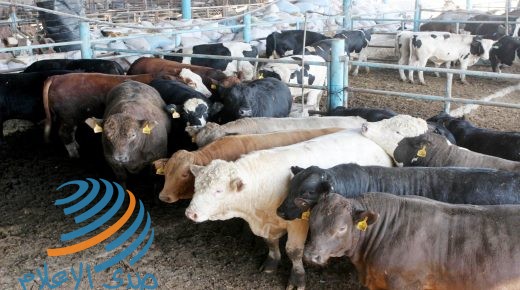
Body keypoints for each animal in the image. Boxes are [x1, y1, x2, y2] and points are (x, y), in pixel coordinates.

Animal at [185, 130, 392, 290]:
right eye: (196, 185)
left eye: (218, 190)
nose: (190, 213)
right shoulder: (269, 224)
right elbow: (270, 243)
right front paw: (271, 262)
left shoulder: (298, 223)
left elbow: (294, 251)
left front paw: (297, 278)